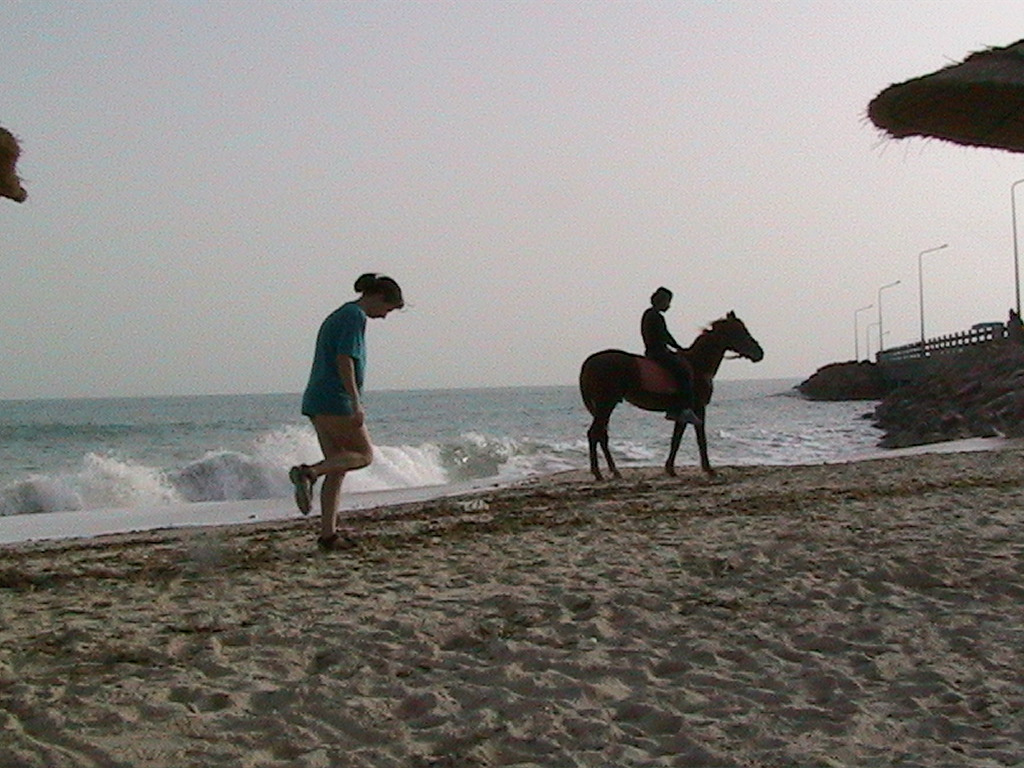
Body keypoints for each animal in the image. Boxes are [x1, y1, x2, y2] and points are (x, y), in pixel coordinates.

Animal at [581, 311, 765, 481]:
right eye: (739, 331)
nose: (759, 353)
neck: (697, 364)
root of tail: (590, 362)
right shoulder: (697, 408)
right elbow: (700, 438)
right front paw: (708, 469)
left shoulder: (682, 412)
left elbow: (676, 439)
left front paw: (670, 468)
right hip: (606, 403)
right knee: (594, 434)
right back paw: (599, 472)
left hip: (605, 405)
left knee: (601, 435)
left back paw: (614, 471)